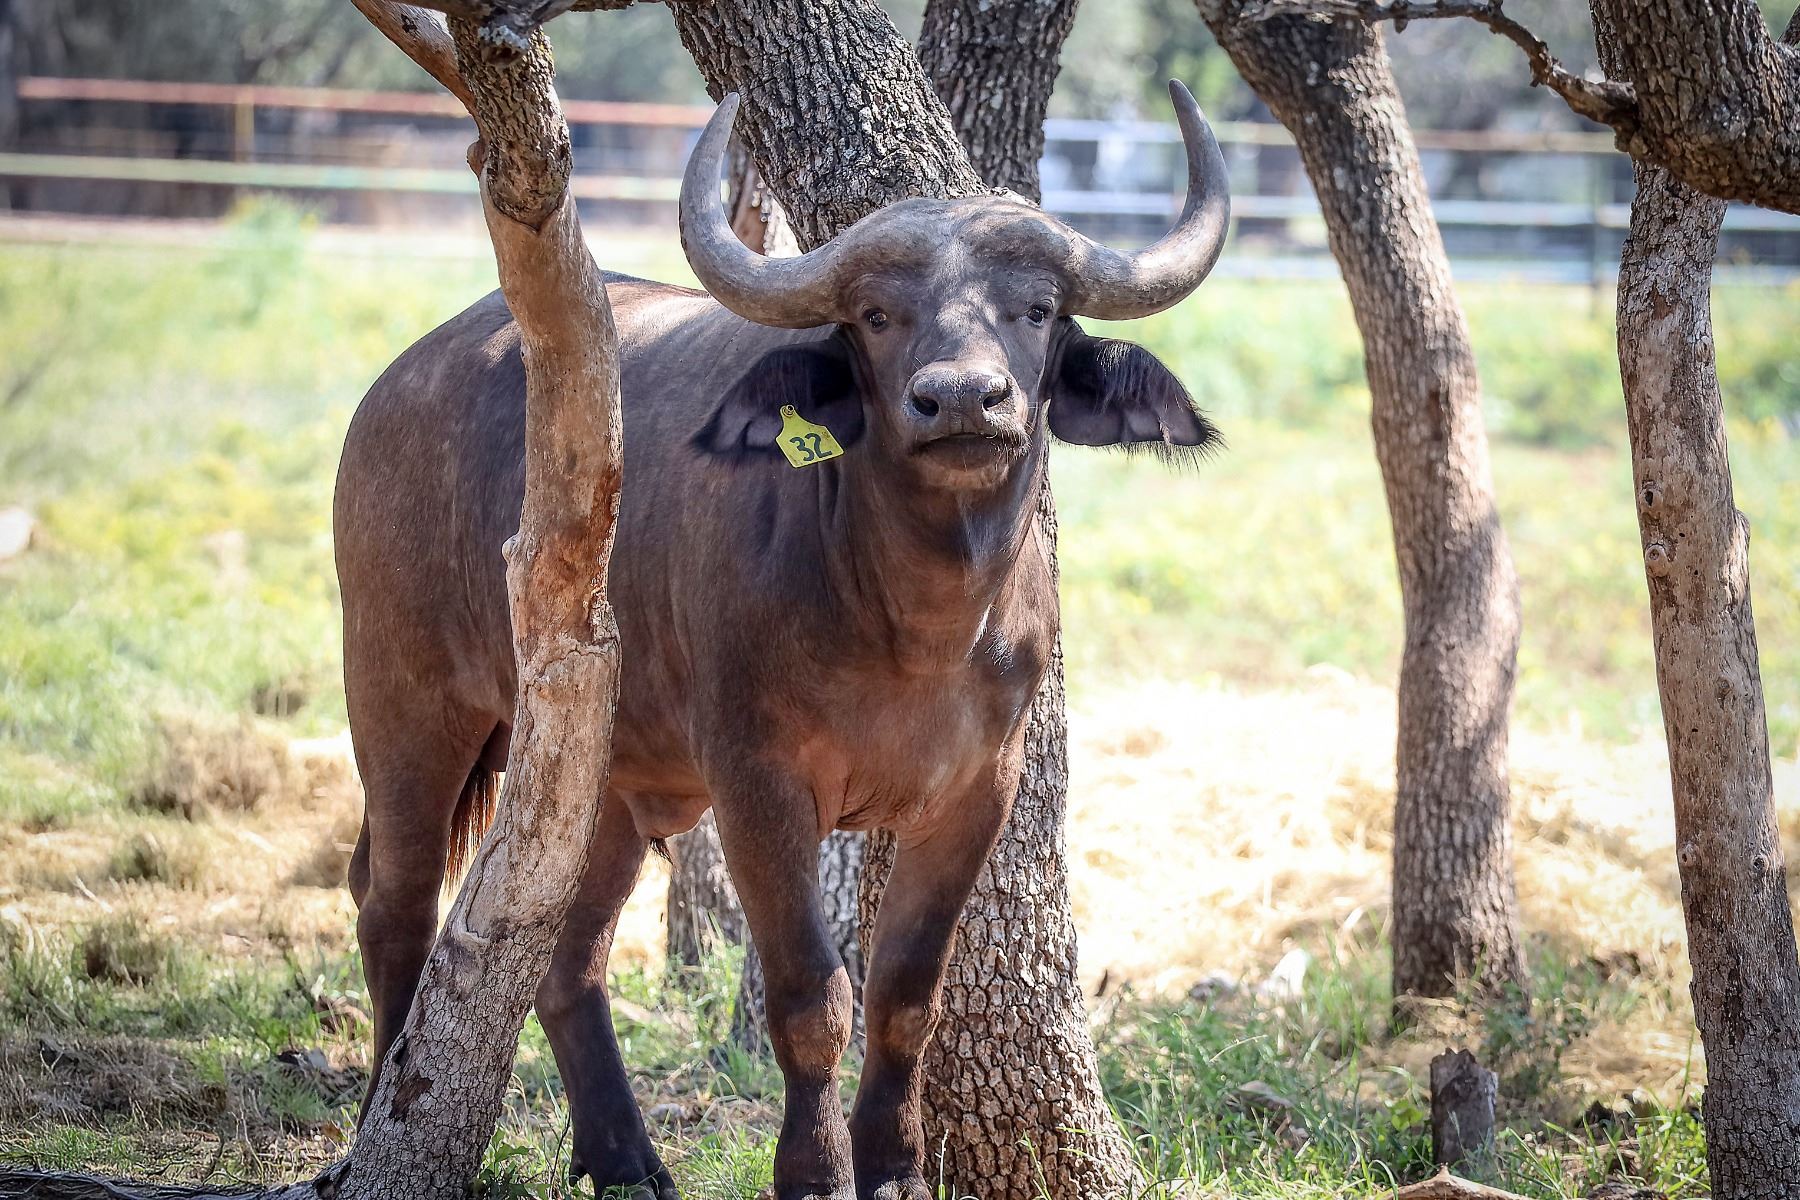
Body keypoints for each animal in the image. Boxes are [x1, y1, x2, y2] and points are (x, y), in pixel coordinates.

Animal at [335, 82, 1229, 1200]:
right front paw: (814, 1169)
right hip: (404, 699)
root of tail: (397, 385)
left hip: (605, 777)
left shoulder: (978, 791)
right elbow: (811, 996)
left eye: (1034, 309)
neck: (917, 626)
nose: (962, 399)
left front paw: (895, 1169)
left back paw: (624, 1157)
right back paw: (384, 1118)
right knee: (395, 906)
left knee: (567, 956)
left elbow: (905, 996)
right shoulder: (757, 784)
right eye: (880, 315)